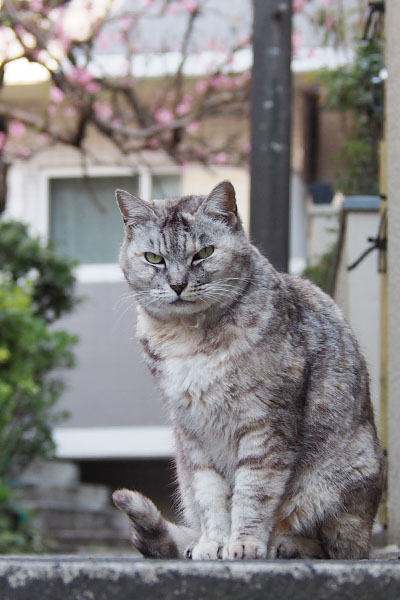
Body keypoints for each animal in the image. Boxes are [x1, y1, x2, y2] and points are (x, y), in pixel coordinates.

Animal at [111, 180, 384, 560]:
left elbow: (253, 491)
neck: (188, 338)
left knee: (328, 544)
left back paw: (284, 546)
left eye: (204, 253)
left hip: (340, 484)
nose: (178, 284)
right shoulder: (193, 433)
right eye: (154, 258)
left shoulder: (265, 425)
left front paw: (243, 543)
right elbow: (210, 495)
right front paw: (213, 544)